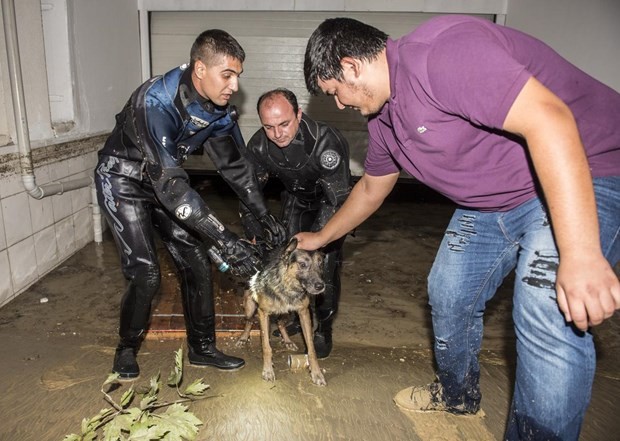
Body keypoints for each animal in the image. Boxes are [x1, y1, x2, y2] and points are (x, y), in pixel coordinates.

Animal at [235, 237, 326, 384]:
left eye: (321, 264)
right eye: (302, 264)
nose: (320, 286)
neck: (288, 287)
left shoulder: (304, 313)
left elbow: (311, 349)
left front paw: (316, 373)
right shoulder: (263, 313)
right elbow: (266, 346)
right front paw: (268, 370)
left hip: (287, 313)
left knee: (280, 324)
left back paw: (288, 341)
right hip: (250, 309)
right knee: (249, 322)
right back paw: (243, 338)